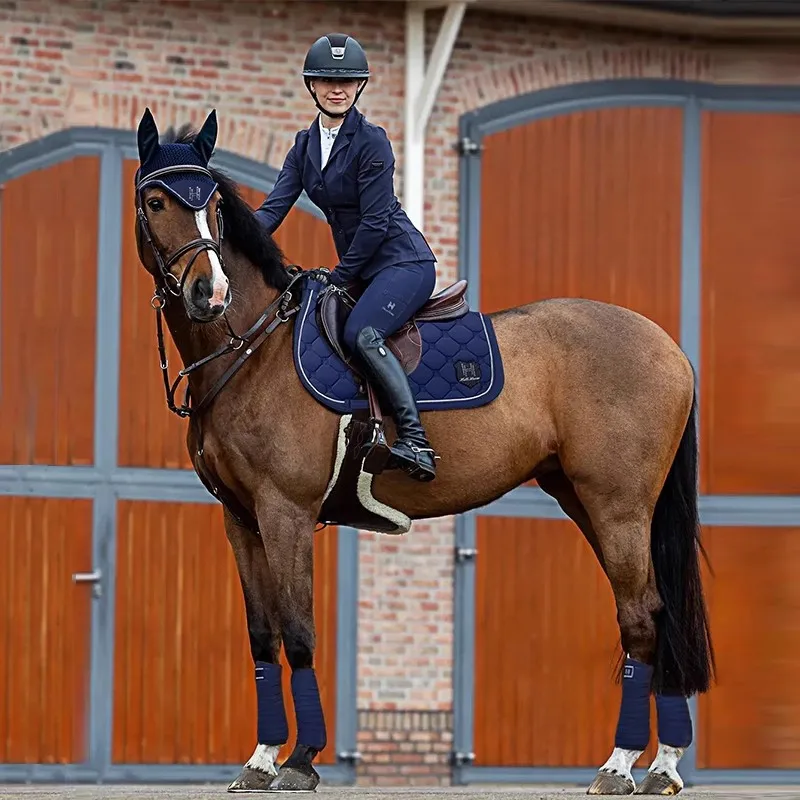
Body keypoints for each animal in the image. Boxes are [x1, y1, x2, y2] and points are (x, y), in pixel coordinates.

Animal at [131, 107, 713, 796]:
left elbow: (298, 632)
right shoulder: (241, 520)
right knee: (657, 612)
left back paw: (621, 765)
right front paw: (262, 757)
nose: (209, 294)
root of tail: (668, 346)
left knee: (642, 617)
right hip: (589, 503)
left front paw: (301, 760)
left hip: (619, 507)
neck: (252, 346)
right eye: (156, 201)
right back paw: (664, 765)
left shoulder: (285, 513)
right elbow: (262, 636)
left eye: (215, 207)